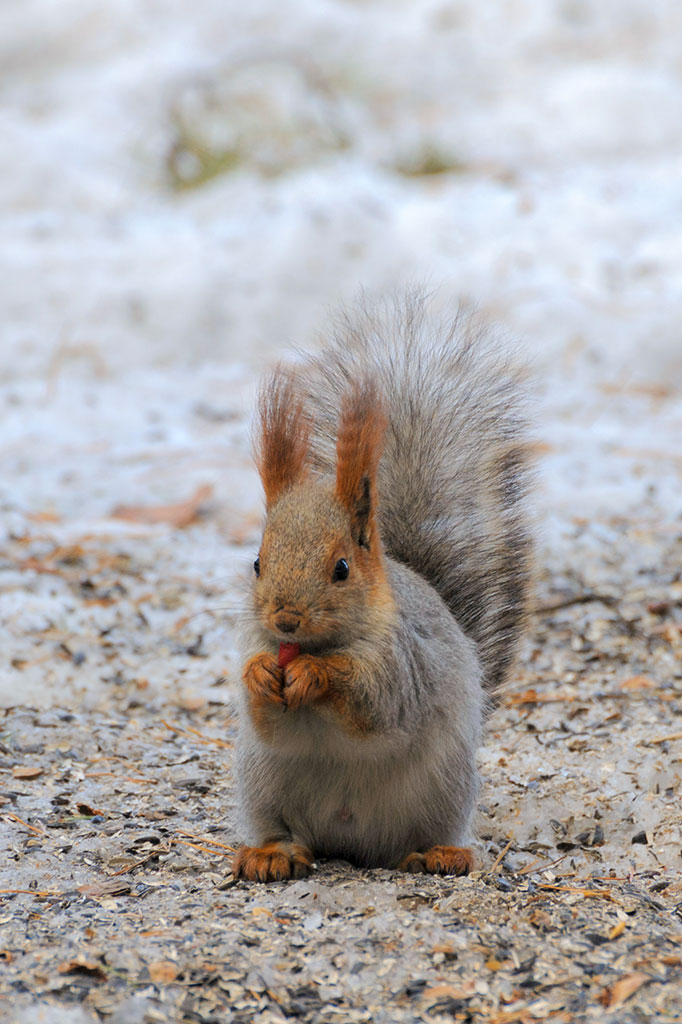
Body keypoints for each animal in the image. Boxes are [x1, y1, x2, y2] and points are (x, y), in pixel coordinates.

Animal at [233, 294, 532, 880]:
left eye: (342, 568)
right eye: (257, 562)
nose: (285, 620)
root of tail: (352, 846)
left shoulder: (402, 663)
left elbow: (373, 705)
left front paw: (315, 675)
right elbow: (268, 720)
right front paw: (258, 674)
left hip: (444, 788)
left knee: (422, 837)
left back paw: (439, 854)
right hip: (264, 784)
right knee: (288, 833)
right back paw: (272, 855)